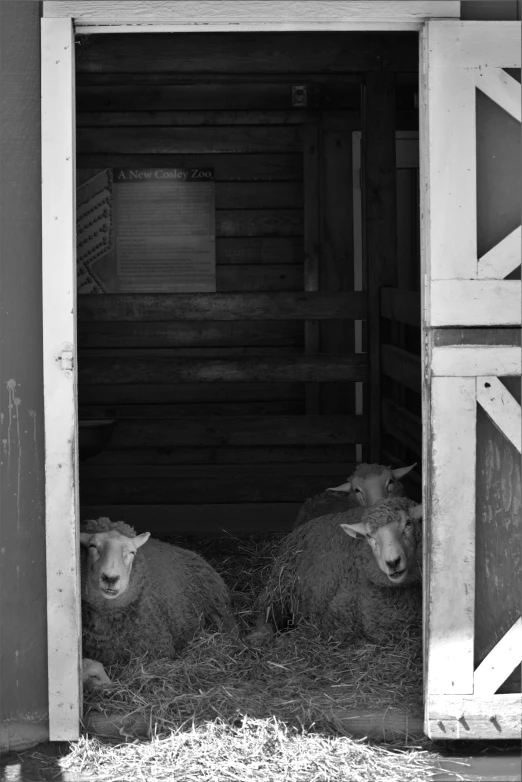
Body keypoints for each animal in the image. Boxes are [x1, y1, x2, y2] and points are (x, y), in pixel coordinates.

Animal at [246, 500, 420, 648]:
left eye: (408, 524)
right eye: (369, 536)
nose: (393, 562)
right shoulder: (333, 622)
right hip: (280, 585)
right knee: (267, 612)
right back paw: (259, 636)